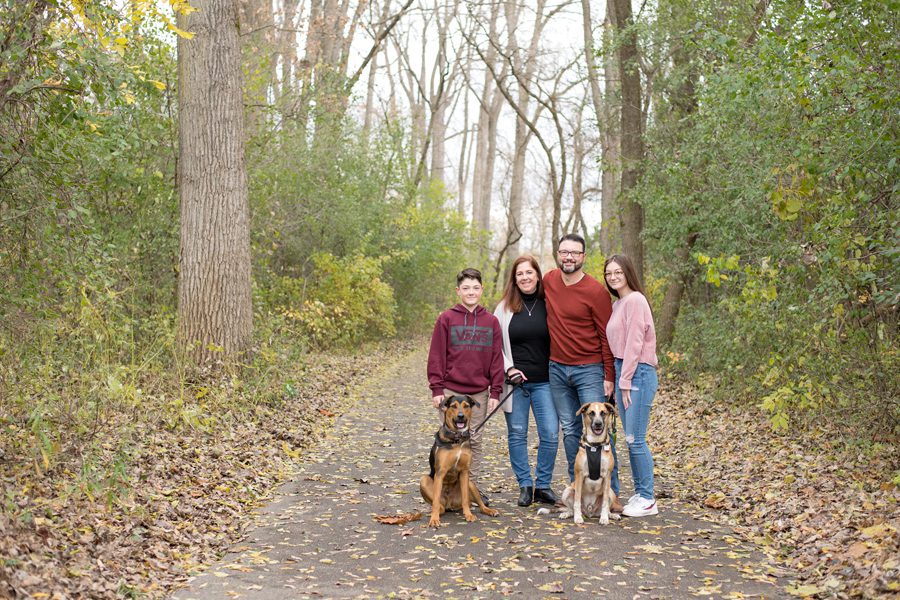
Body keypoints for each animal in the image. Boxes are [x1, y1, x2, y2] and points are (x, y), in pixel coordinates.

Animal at [420, 396, 500, 528]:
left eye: (466, 406)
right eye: (453, 406)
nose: (461, 416)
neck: (457, 438)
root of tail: (450, 504)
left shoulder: (464, 472)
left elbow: (465, 498)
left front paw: (468, 515)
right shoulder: (440, 473)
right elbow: (435, 501)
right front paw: (434, 519)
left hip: (470, 483)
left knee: (478, 504)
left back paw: (489, 510)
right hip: (424, 480)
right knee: (439, 505)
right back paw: (437, 511)